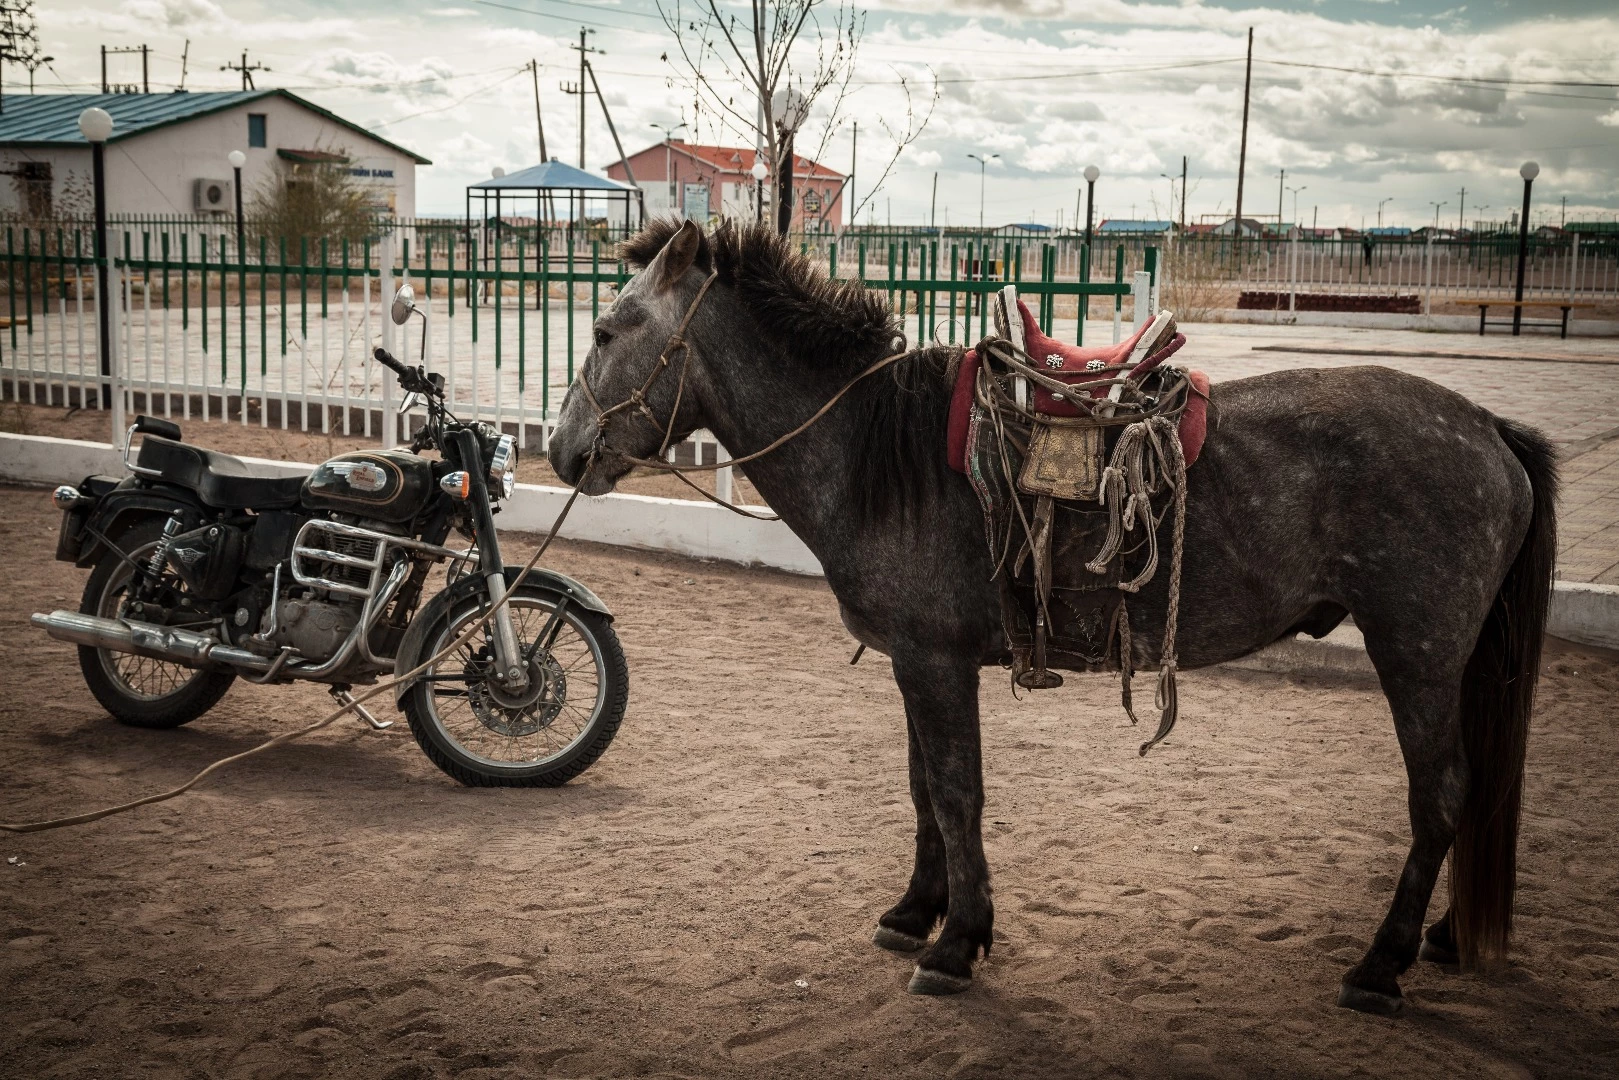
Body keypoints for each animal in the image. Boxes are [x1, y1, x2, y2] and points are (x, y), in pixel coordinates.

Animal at [547, 218, 1558, 1016]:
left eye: (604, 329)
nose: (562, 451)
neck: (874, 450)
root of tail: (1484, 426)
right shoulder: (918, 662)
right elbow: (923, 788)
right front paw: (915, 913)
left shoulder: (933, 661)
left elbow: (956, 792)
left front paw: (957, 944)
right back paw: (1439, 939)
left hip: (1415, 654)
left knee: (1440, 795)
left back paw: (1379, 966)